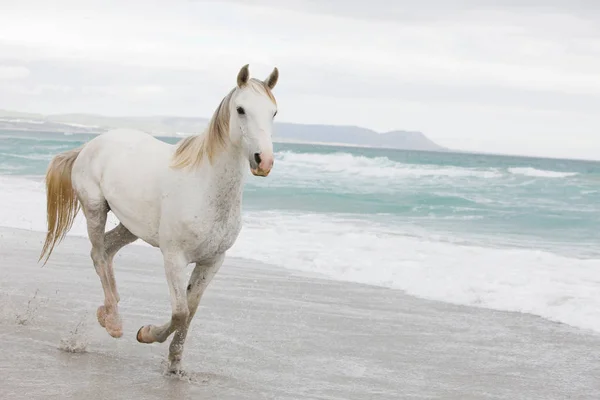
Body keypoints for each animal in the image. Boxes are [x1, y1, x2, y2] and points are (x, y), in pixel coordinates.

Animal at [39, 64, 278, 374]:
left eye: (273, 112)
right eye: (241, 109)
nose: (264, 161)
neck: (205, 186)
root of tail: (90, 145)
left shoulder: (212, 261)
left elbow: (191, 310)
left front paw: (175, 364)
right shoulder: (174, 258)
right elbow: (180, 312)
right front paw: (146, 333)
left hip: (130, 226)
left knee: (107, 249)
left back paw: (108, 311)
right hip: (94, 209)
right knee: (98, 253)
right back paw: (113, 322)